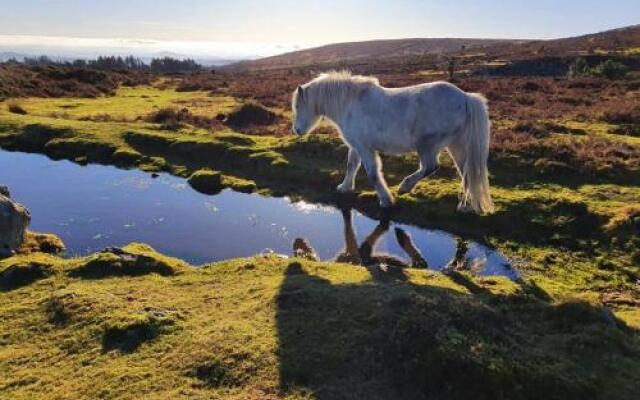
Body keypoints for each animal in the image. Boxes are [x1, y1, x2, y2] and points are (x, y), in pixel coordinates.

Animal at [292, 72, 496, 216]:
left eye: (298, 106)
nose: (297, 130)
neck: (349, 104)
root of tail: (465, 97)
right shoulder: (356, 146)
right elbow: (351, 166)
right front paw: (344, 188)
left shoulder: (365, 148)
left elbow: (373, 174)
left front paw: (386, 200)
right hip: (457, 146)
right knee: (466, 173)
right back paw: (463, 206)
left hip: (428, 146)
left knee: (430, 167)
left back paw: (405, 186)